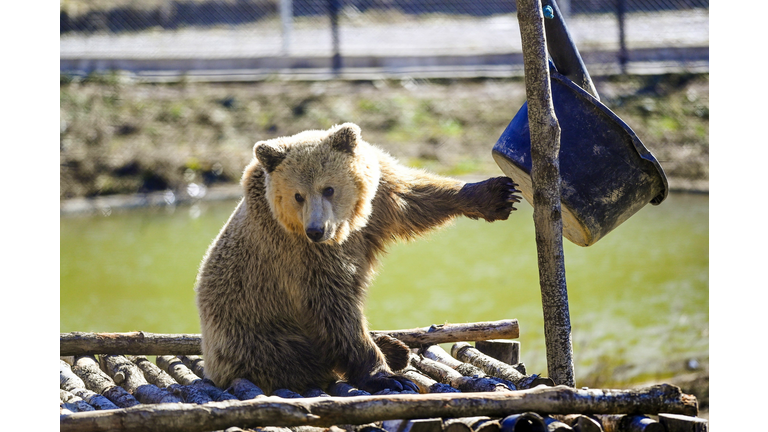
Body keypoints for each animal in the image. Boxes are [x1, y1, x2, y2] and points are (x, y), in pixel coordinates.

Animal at [195, 123, 521, 395]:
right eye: (297, 195)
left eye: (328, 188)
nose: (316, 229)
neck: (346, 227)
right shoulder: (300, 256)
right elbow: (335, 310)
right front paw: (387, 377)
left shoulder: (380, 199)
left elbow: (417, 198)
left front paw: (497, 193)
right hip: (258, 335)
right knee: (294, 360)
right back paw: (389, 351)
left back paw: (393, 346)